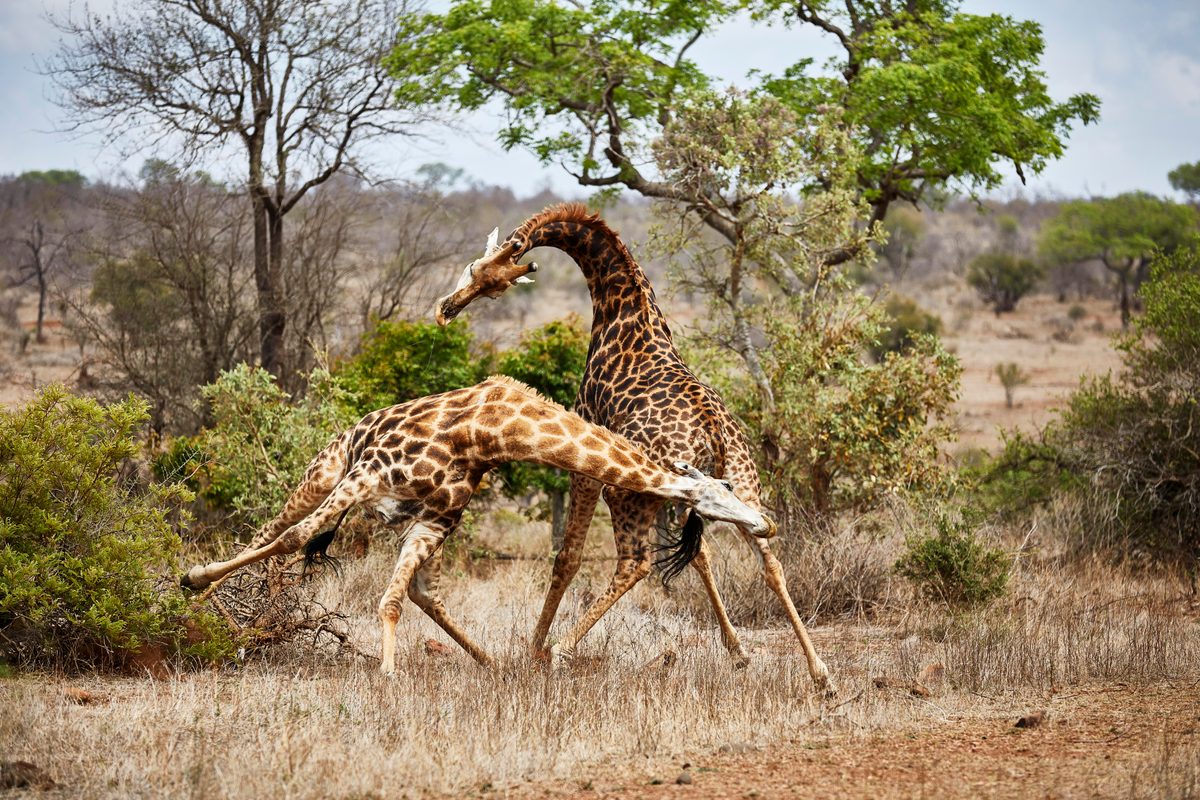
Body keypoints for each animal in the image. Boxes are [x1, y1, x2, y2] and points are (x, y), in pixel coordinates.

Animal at [181, 376, 775, 675]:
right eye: (723, 490)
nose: (764, 524)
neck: (490, 432)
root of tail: (356, 422)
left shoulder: (434, 517)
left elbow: (395, 598)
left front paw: (389, 675)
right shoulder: (368, 474)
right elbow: (294, 539)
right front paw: (196, 585)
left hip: (400, 513)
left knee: (416, 590)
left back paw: (489, 661)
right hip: (326, 471)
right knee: (272, 531)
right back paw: (209, 604)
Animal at [434, 204, 834, 694]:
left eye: (480, 271)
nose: (448, 308)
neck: (623, 309)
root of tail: (715, 432)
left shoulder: (585, 457)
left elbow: (567, 556)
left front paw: (533, 647)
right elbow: (701, 556)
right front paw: (738, 653)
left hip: (629, 492)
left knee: (635, 563)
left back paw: (562, 649)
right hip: (740, 485)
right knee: (768, 557)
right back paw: (821, 674)